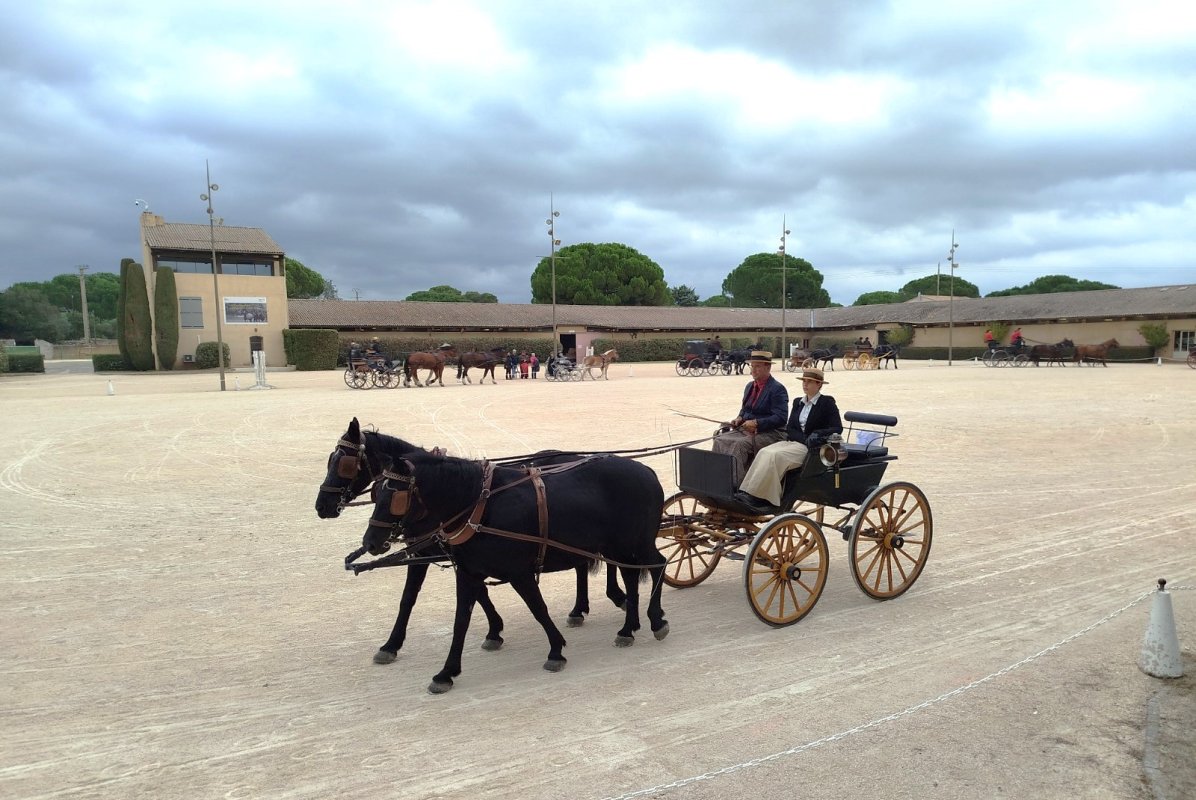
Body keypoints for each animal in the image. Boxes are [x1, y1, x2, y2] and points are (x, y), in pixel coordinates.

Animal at [316, 418, 627, 664]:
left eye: (343, 463)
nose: (322, 506)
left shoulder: (437, 554)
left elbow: (427, 597)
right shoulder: (442, 554)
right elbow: (436, 596)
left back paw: (614, 597)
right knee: (585, 563)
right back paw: (581, 608)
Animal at [362, 450, 669, 693]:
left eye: (393, 495)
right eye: (376, 493)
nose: (370, 542)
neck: (479, 507)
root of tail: (646, 471)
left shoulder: (518, 572)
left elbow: (538, 609)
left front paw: (556, 650)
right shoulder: (468, 573)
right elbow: (461, 621)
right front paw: (446, 672)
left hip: (636, 543)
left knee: (659, 565)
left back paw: (655, 620)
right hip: (618, 547)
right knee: (631, 577)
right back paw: (629, 628)